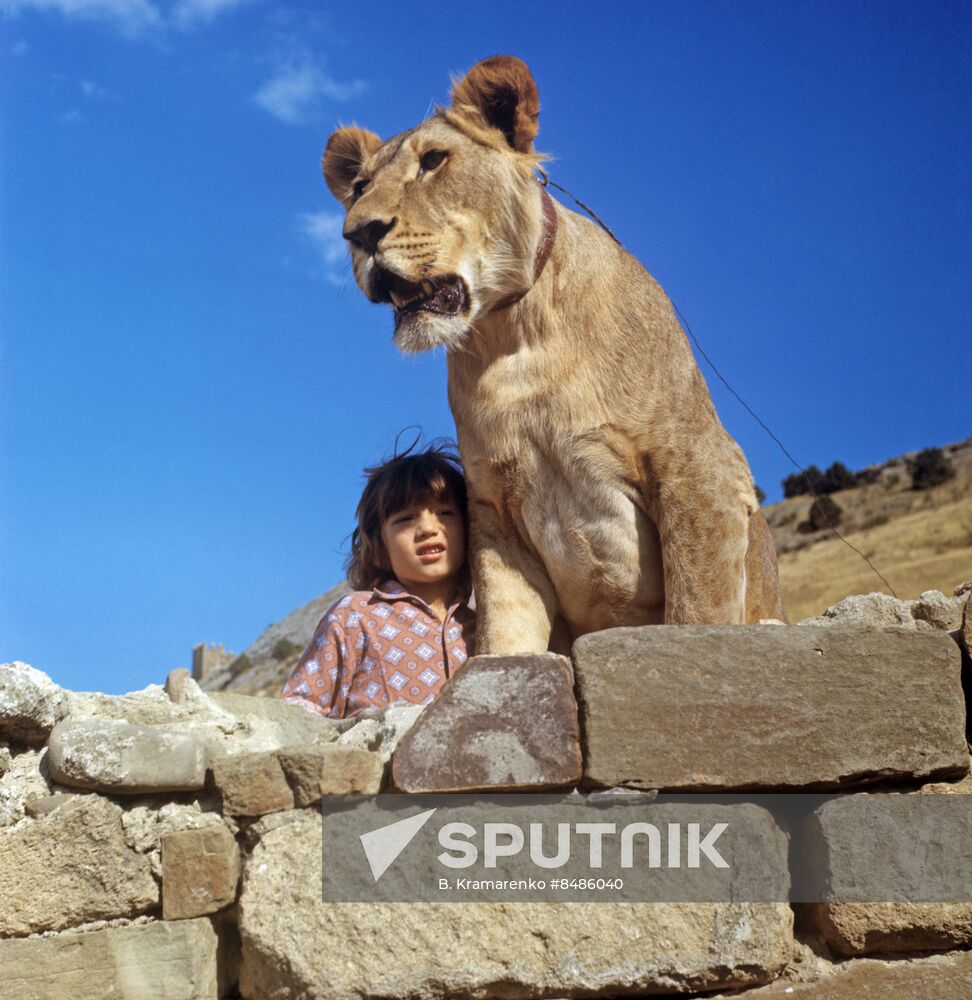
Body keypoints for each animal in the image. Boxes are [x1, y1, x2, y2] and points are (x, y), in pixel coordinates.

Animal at [321, 55, 785, 654]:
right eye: (359, 187)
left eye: (433, 161)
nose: (357, 234)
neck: (516, 338)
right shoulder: (495, 510)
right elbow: (505, 631)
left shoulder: (699, 465)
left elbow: (697, 612)